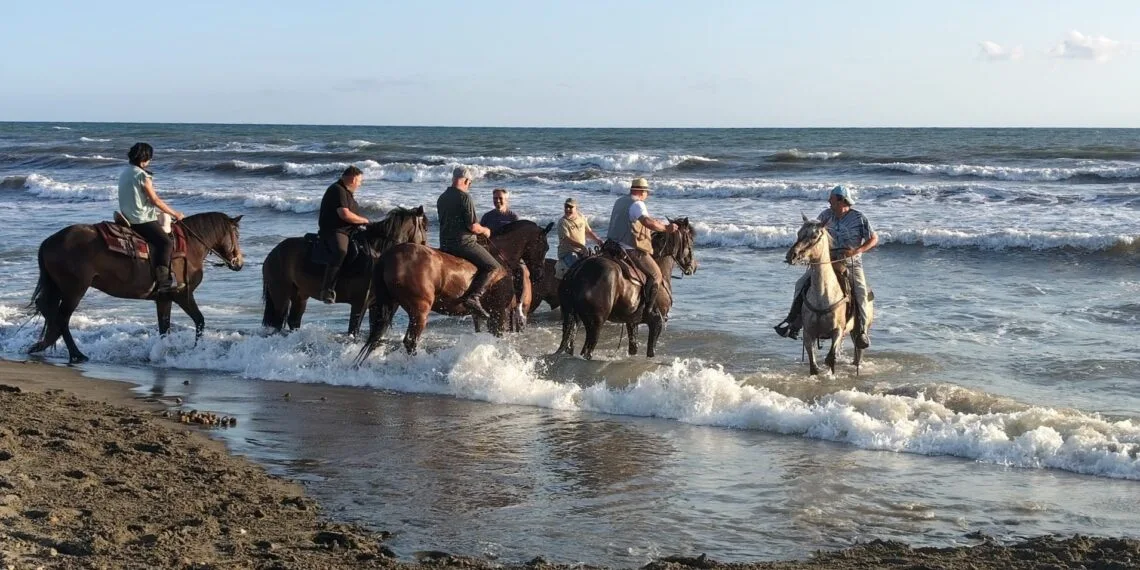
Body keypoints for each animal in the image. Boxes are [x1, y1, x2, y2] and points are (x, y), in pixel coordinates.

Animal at [28, 212, 245, 363]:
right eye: (236, 234)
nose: (239, 262)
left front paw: (159, 354)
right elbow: (199, 321)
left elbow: (164, 328)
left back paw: (43, 345)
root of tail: (48, 242)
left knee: (47, 308)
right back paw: (76, 354)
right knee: (62, 318)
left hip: (58, 287)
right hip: (74, 290)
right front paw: (195, 351)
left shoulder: (163, 298)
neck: (190, 247)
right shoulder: (183, 294)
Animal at [260, 206, 427, 337]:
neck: (376, 253)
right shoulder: (359, 303)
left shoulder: (373, 305)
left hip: (300, 296)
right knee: (278, 322)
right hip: (281, 295)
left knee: (293, 321)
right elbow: (353, 331)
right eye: (425, 227)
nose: (426, 249)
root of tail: (272, 254)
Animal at [356, 220, 553, 359]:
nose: (539, 275)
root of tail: (389, 256)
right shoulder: (499, 313)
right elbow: (497, 339)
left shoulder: (493, 314)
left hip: (390, 305)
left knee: (377, 337)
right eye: (545, 246)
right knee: (410, 342)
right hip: (420, 310)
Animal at [555, 218, 697, 360]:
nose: (694, 267)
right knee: (587, 350)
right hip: (595, 323)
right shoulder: (657, 323)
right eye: (690, 240)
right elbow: (651, 352)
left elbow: (633, 348)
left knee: (569, 344)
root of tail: (577, 269)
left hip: (572, 318)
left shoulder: (632, 322)